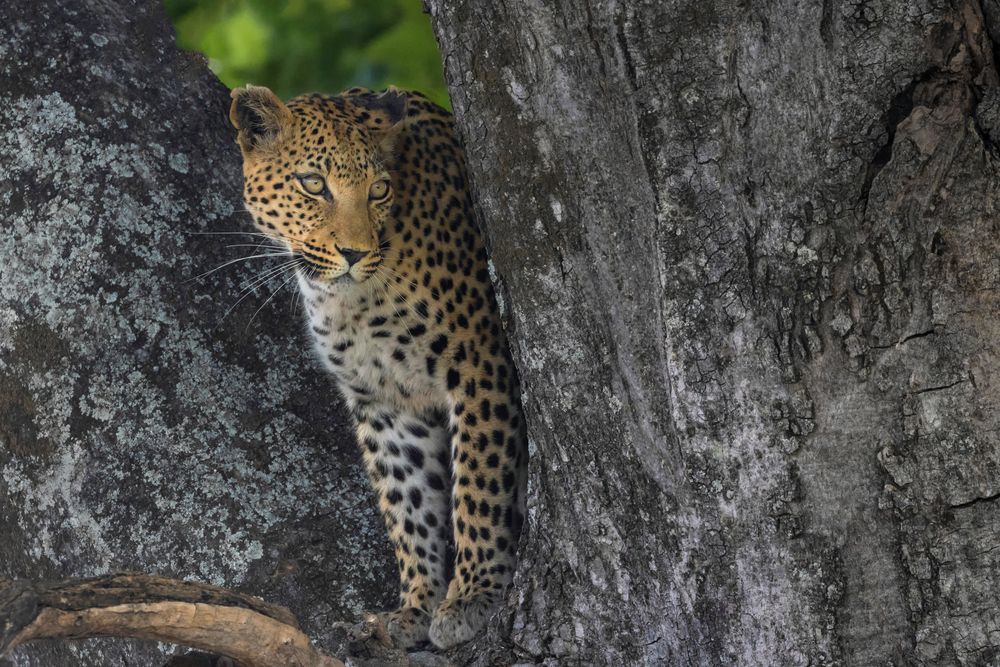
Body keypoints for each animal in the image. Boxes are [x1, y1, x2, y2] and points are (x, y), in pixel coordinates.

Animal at [228, 84, 527, 650]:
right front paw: (415, 606)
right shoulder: (385, 400)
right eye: (313, 184)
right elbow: (407, 501)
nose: (353, 253)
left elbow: (478, 482)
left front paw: (471, 596)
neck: (355, 301)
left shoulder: (479, 360)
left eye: (380, 190)